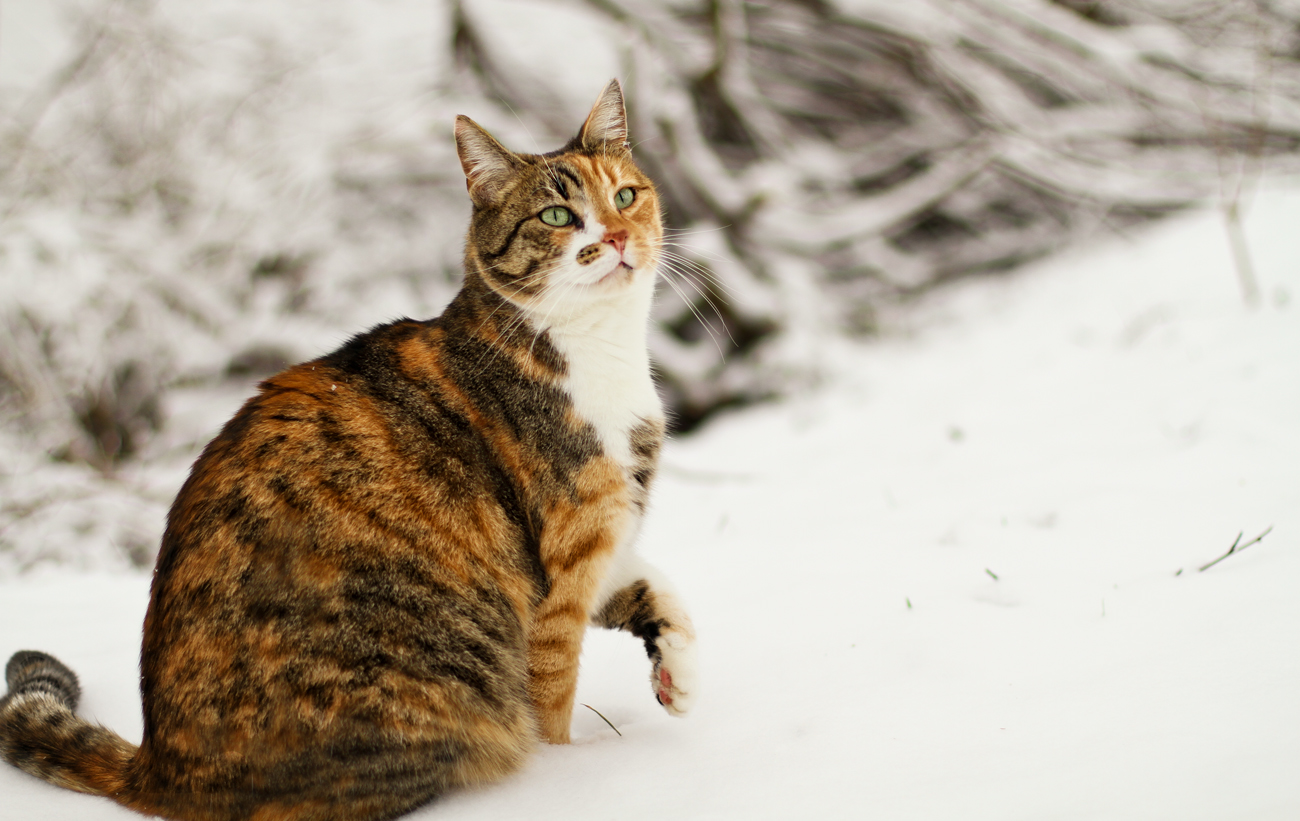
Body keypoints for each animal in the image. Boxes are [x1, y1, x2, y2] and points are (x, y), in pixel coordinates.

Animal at [2, 78, 702, 821]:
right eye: (558, 214)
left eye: (624, 196)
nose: (619, 236)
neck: (603, 351)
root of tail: (157, 766)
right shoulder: (563, 573)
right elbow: (555, 703)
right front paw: (577, 775)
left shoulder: (604, 538)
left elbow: (650, 581)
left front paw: (677, 667)